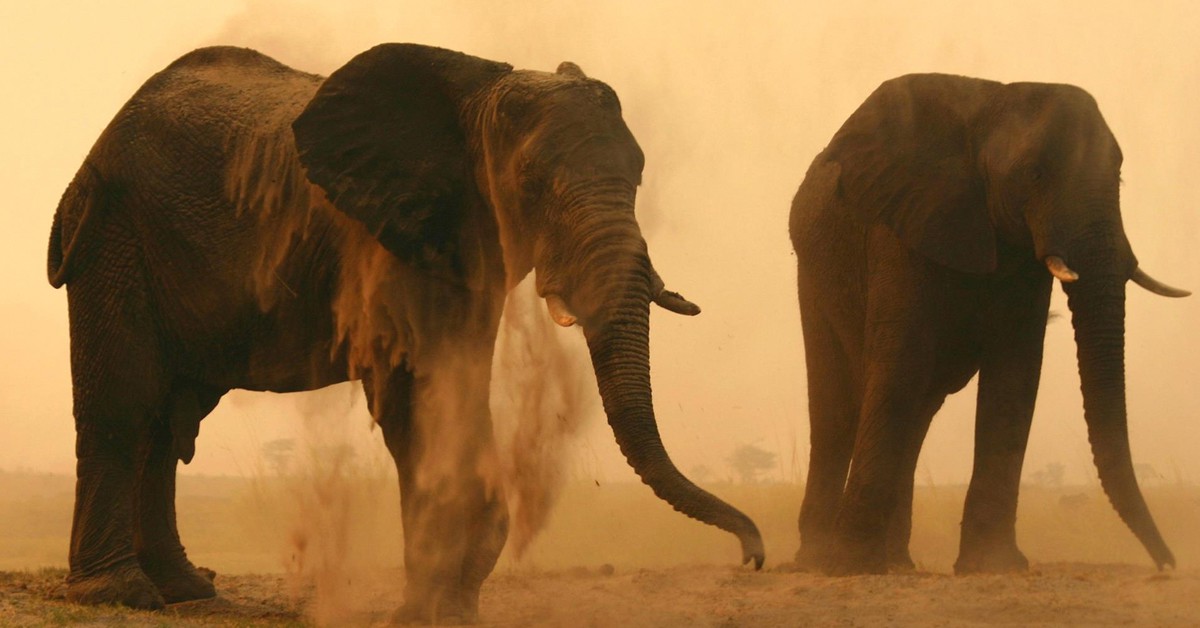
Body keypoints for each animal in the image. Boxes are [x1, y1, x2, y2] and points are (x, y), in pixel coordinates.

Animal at [47, 44, 764, 621]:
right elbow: (416, 397)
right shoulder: (386, 236)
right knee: (126, 405)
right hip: (115, 236)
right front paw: (427, 608)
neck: (479, 96)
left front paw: (451, 605)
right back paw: (123, 594)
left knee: (166, 423)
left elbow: (456, 389)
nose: (752, 557)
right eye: (532, 183)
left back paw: (187, 590)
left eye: (640, 173)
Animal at [788, 73, 1187, 576]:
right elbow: (900, 364)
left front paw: (994, 566)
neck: (991, 102)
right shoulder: (900, 225)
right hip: (814, 277)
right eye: (1034, 174)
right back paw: (817, 560)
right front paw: (852, 565)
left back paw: (898, 563)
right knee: (839, 408)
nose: (1167, 564)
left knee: (916, 412)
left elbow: (1015, 374)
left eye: (1118, 175)